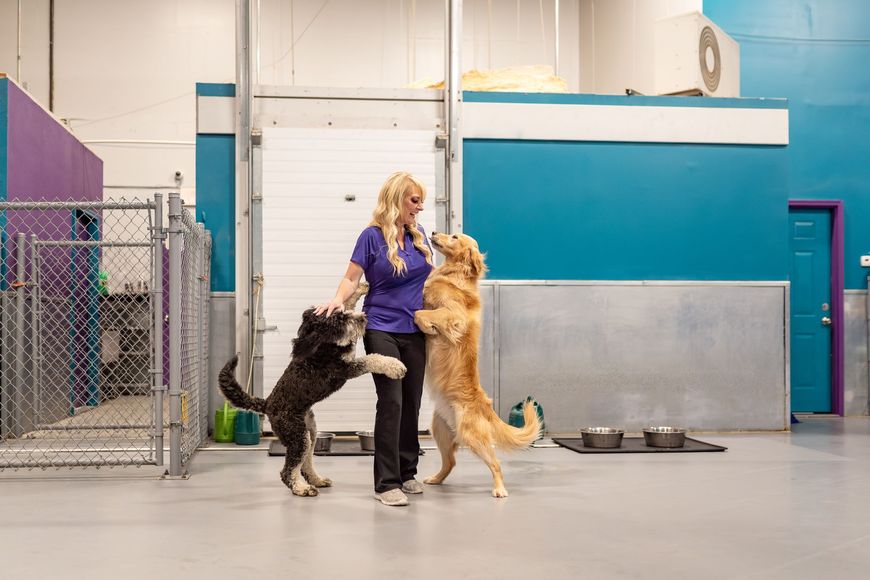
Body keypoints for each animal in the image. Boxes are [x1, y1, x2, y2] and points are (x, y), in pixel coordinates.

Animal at [220, 288, 408, 496]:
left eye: (342, 314)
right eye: (338, 322)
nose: (362, 318)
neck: (325, 345)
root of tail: (268, 403)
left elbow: (348, 301)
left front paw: (360, 288)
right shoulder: (345, 369)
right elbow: (372, 359)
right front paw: (395, 366)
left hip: (310, 432)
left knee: (305, 463)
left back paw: (316, 480)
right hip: (297, 436)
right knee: (288, 470)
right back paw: (302, 488)